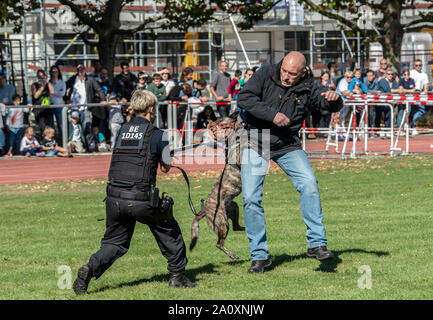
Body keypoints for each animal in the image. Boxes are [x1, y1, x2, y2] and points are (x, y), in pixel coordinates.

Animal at [190, 112, 246, 260]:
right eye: (220, 120)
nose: (209, 123)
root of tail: (204, 210)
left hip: (234, 208)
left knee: (236, 227)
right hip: (222, 223)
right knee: (219, 244)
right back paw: (232, 255)